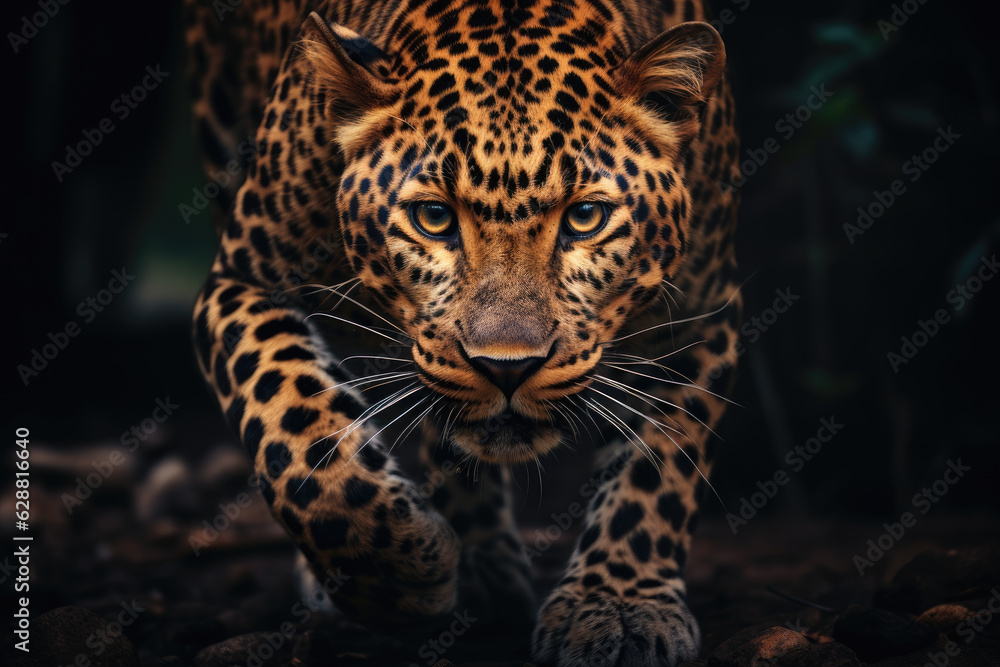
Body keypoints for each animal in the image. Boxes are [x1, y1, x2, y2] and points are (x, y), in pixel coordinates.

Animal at [185, 0, 741, 663]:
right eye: (433, 217)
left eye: (585, 217)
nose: (507, 367)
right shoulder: (244, 281)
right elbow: (301, 434)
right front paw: (396, 576)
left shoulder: (700, 319)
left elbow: (657, 475)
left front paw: (621, 607)